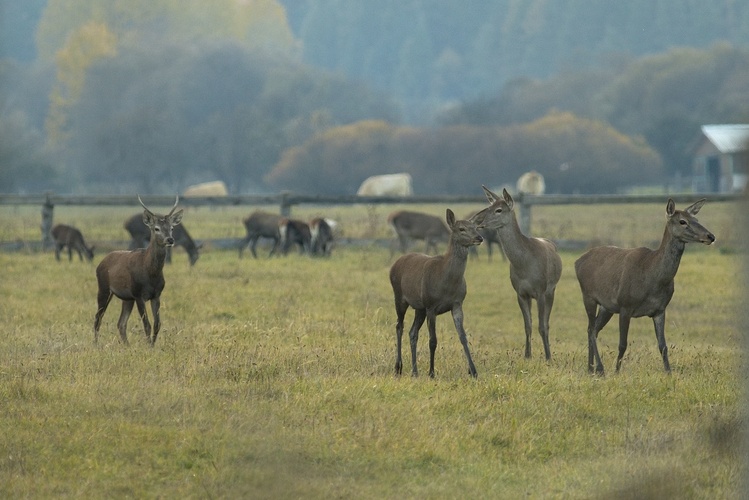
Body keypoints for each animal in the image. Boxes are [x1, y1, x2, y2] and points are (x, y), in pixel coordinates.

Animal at [93, 196, 183, 348]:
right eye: (156, 228)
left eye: (171, 228)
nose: (170, 239)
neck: (151, 274)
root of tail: (101, 262)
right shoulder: (139, 294)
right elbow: (147, 324)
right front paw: (149, 346)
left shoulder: (156, 295)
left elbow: (157, 324)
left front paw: (152, 346)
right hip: (104, 288)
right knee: (98, 317)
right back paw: (95, 344)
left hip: (127, 298)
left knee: (121, 323)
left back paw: (127, 346)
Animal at [388, 208, 482, 378]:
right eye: (461, 229)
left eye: (476, 227)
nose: (479, 238)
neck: (446, 282)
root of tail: (395, 263)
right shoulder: (431, 306)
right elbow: (433, 340)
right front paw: (431, 372)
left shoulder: (457, 304)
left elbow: (463, 337)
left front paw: (473, 371)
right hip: (399, 296)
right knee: (399, 326)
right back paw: (398, 367)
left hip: (419, 308)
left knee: (412, 332)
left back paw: (415, 371)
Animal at [470, 187, 560, 360]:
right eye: (489, 205)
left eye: (499, 210)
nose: (475, 220)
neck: (525, 265)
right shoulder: (520, 293)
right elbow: (527, 325)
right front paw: (527, 355)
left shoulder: (540, 291)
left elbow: (542, 326)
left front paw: (548, 357)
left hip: (551, 290)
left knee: (547, 323)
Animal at [576, 197, 716, 374]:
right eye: (682, 221)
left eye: (696, 219)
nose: (710, 236)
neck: (653, 279)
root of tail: (578, 261)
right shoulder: (625, 305)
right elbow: (622, 344)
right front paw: (617, 372)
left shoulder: (660, 309)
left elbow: (663, 346)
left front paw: (669, 373)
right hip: (588, 296)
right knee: (591, 329)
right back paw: (599, 368)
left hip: (607, 306)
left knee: (592, 329)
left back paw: (591, 368)